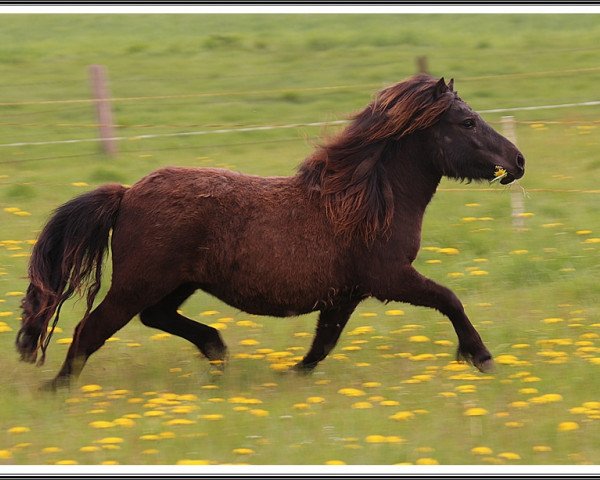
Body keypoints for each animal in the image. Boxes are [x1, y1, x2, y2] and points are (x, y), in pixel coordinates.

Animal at [16, 75, 524, 390]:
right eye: (467, 122)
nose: (518, 161)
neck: (366, 201)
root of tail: (125, 194)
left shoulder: (346, 294)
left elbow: (323, 344)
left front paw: (289, 377)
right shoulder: (390, 278)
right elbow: (450, 300)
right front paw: (481, 357)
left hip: (176, 283)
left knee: (155, 317)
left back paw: (216, 351)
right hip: (139, 283)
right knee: (90, 329)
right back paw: (55, 390)